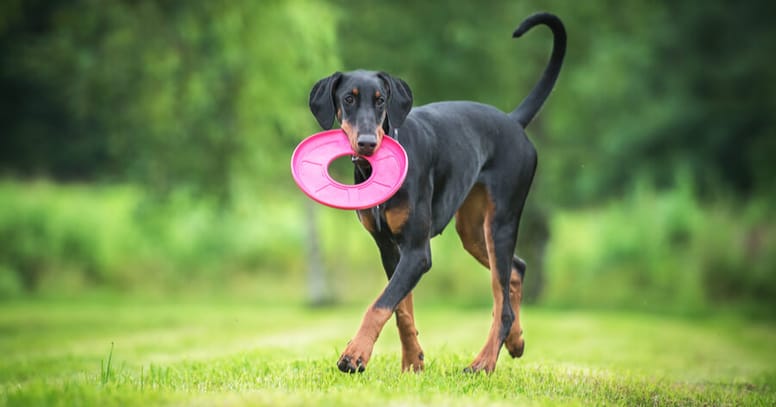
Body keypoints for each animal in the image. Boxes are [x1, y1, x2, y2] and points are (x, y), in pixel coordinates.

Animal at [306, 11, 568, 374]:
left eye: (381, 101)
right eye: (348, 99)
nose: (368, 144)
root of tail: (513, 122)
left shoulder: (417, 252)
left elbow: (379, 304)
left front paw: (355, 354)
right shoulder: (389, 248)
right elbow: (401, 308)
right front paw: (412, 362)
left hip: (501, 221)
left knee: (501, 300)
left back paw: (483, 363)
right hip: (472, 229)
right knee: (516, 271)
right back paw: (515, 341)